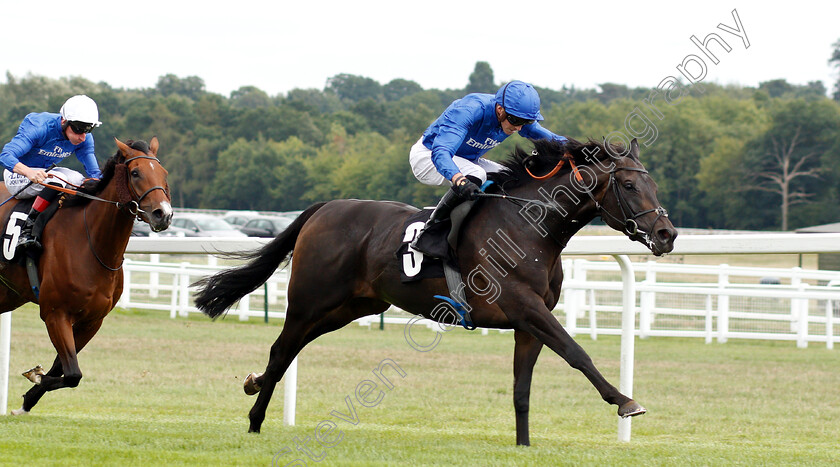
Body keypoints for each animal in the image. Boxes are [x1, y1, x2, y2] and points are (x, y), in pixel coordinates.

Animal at [0, 137, 172, 414]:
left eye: (164, 173)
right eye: (135, 173)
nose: (163, 214)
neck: (91, 243)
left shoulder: (92, 320)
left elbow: (63, 369)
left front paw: (28, 399)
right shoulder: (55, 313)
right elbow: (72, 374)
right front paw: (34, 376)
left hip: (8, 294)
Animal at [195, 136, 676, 446]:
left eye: (653, 184)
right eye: (629, 185)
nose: (667, 234)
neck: (529, 226)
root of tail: (324, 207)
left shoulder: (527, 323)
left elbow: (522, 388)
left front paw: (523, 445)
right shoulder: (525, 308)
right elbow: (578, 353)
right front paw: (625, 402)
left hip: (349, 306)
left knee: (290, 350)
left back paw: (254, 385)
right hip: (310, 300)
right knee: (282, 350)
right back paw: (255, 420)